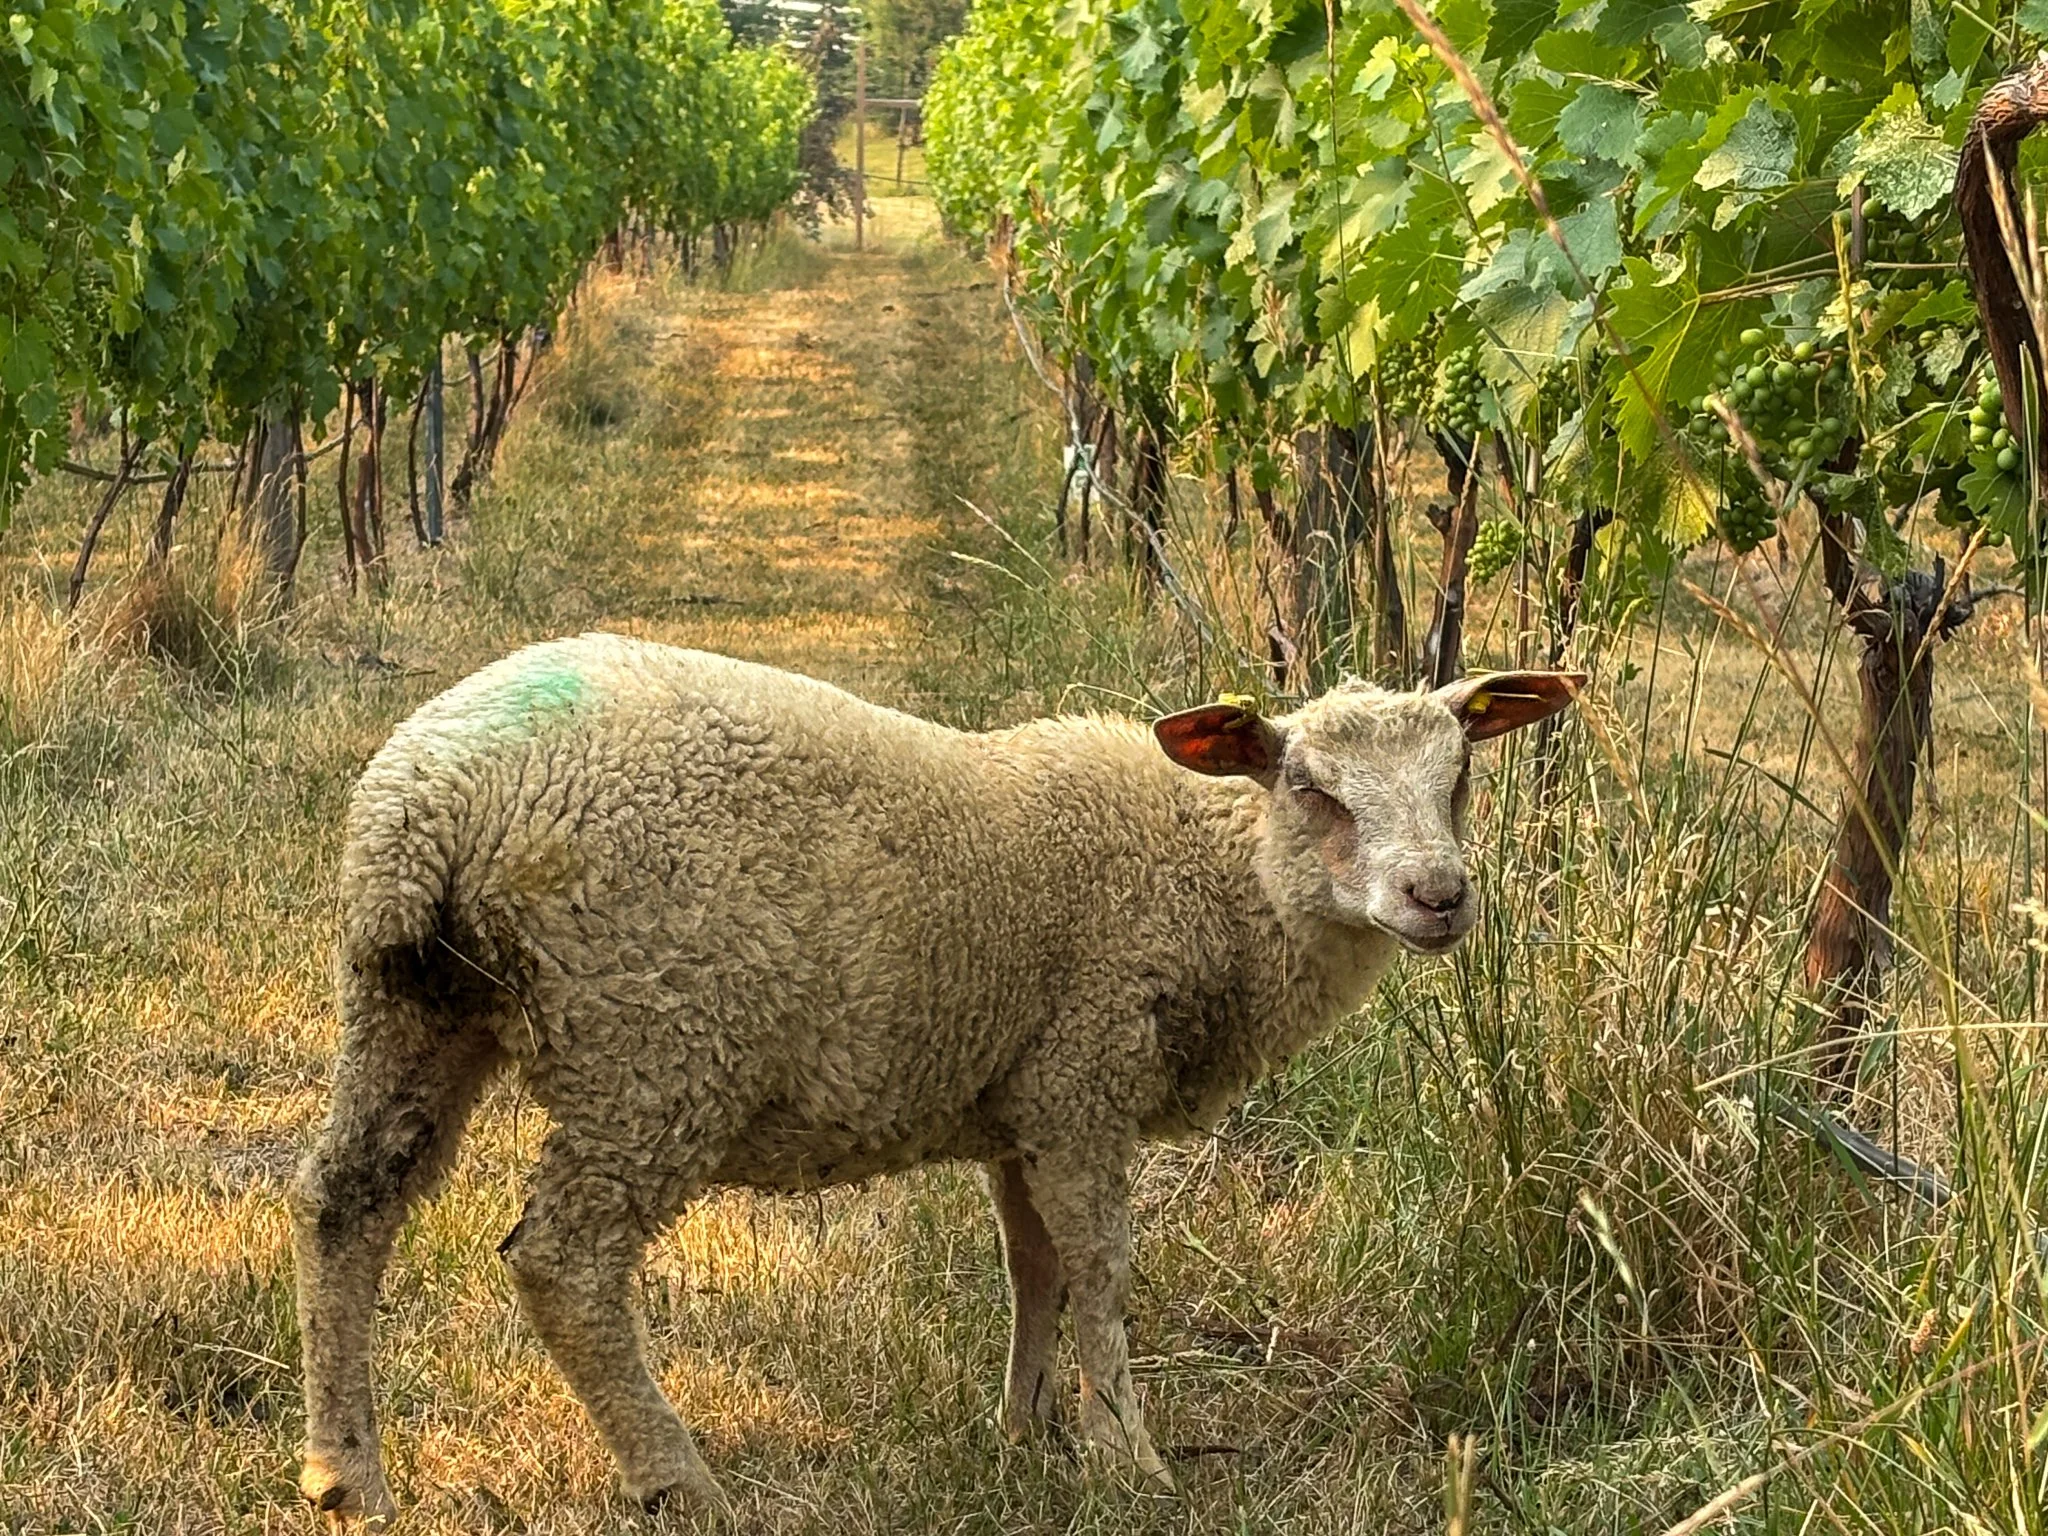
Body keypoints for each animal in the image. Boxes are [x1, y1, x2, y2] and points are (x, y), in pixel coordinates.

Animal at [290, 632, 1583, 1521]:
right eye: (1312, 787)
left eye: (1460, 776)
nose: (1436, 895)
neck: (1215, 881)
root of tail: (427, 803)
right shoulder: (1082, 1079)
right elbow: (1102, 1273)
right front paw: (1129, 1460)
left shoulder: (1023, 1101)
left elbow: (1035, 1274)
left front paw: (1025, 1437)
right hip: (649, 1043)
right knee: (562, 1262)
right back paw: (681, 1484)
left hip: (410, 1003)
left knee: (342, 1204)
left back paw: (346, 1477)